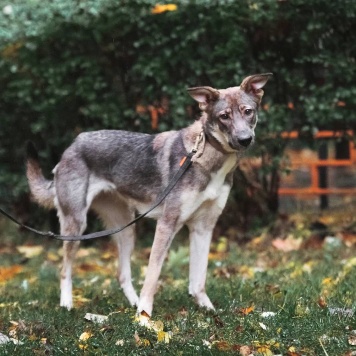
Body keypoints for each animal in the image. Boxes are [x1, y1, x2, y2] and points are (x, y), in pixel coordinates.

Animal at [27, 72, 272, 314]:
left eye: (248, 111)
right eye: (224, 116)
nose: (245, 140)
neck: (207, 159)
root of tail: (73, 144)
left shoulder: (203, 227)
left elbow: (198, 280)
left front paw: (207, 310)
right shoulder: (167, 224)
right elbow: (153, 275)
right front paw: (145, 315)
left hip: (126, 229)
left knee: (122, 274)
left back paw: (132, 303)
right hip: (76, 226)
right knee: (64, 269)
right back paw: (67, 304)